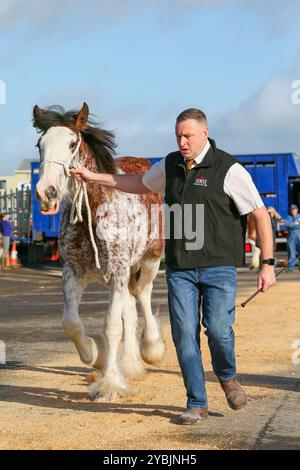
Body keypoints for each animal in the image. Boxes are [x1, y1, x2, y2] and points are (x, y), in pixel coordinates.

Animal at [33, 102, 165, 400]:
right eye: (40, 144)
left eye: (72, 144)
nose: (47, 192)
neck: (93, 213)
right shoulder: (73, 272)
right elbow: (71, 322)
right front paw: (97, 355)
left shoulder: (117, 271)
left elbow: (112, 326)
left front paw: (109, 385)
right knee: (129, 308)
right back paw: (129, 364)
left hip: (149, 260)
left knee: (142, 294)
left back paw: (151, 349)